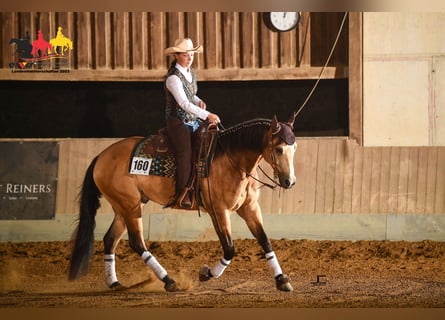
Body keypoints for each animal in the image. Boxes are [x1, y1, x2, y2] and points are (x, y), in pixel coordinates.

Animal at [67, 114, 296, 292]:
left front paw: (281, 280)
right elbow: (229, 249)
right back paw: (169, 281)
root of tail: (101, 156)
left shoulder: (250, 208)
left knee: (110, 239)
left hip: (123, 207)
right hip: (129, 206)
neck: (231, 160)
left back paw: (114, 283)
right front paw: (207, 273)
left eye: (293, 149)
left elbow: (265, 241)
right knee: (137, 243)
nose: (290, 182)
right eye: (278, 149)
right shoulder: (219, 211)